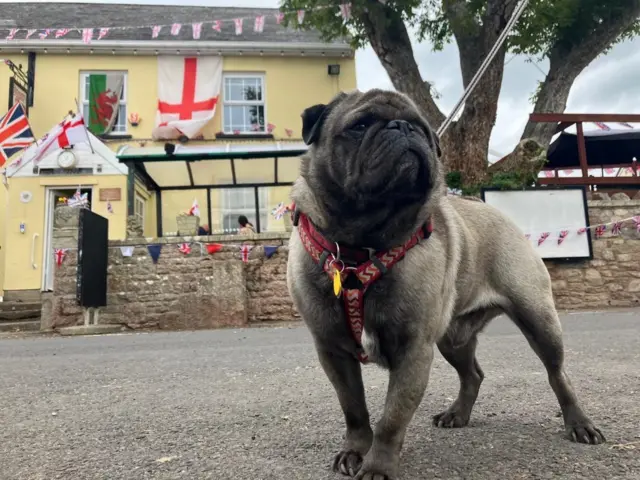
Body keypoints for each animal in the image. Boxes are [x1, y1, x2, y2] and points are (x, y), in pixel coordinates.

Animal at [286, 90, 604, 480]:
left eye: (422, 128)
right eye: (360, 125)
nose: (403, 127)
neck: (361, 245)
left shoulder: (413, 351)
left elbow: (392, 418)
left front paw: (377, 466)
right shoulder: (333, 351)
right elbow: (354, 410)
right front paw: (356, 450)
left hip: (538, 320)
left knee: (558, 374)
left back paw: (579, 423)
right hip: (453, 338)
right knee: (473, 375)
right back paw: (458, 414)